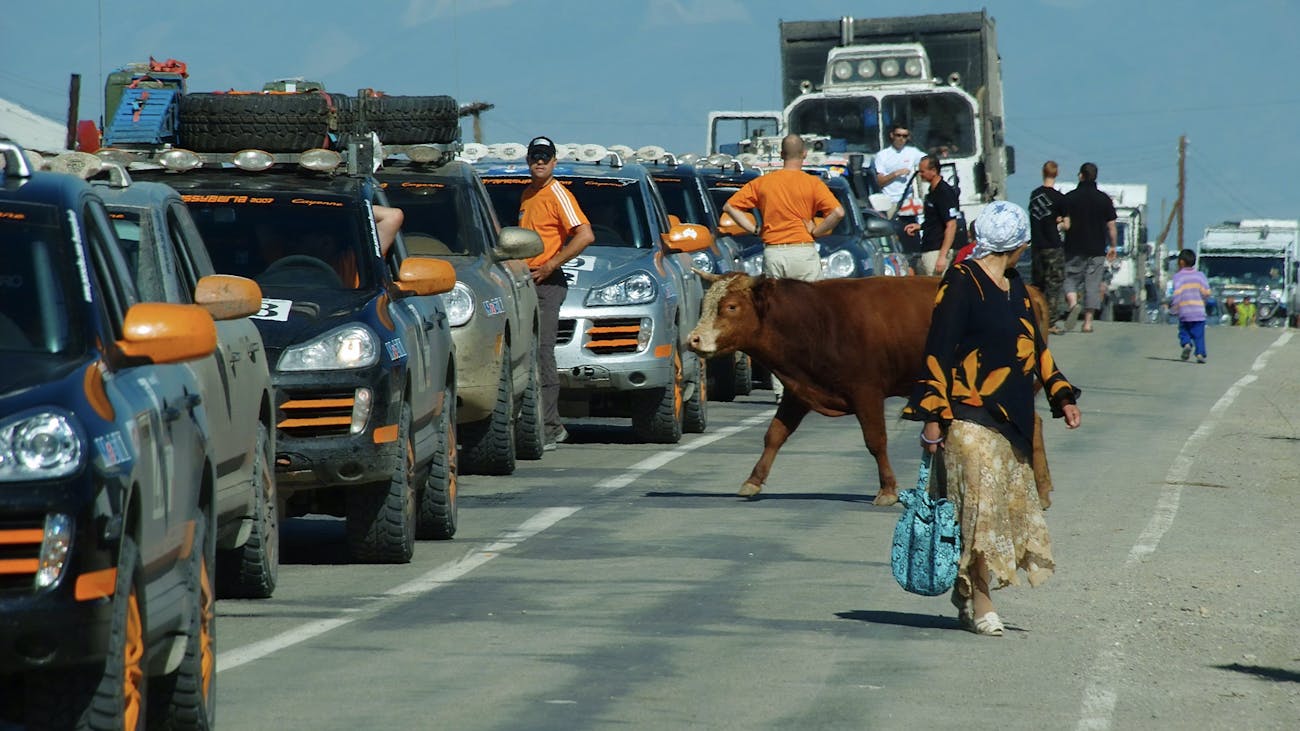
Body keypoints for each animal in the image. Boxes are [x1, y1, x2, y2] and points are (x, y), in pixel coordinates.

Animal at [686, 271, 1050, 507]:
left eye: (731, 307)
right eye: (704, 305)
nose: (693, 339)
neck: (816, 321)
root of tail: (1030, 291)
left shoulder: (867, 392)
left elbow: (876, 441)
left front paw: (887, 489)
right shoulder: (798, 391)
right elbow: (774, 434)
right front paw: (753, 481)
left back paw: (1040, 489)